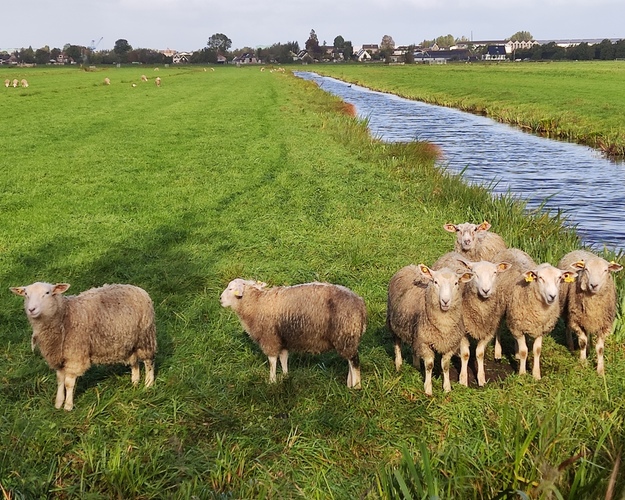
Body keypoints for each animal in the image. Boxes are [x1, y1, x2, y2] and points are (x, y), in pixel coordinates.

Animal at [10, 282, 157, 410]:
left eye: (47, 293)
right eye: (26, 294)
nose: (31, 309)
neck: (65, 316)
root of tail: (137, 288)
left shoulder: (74, 355)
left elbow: (68, 383)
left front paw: (68, 406)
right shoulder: (59, 357)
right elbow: (60, 380)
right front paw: (58, 403)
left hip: (145, 336)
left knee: (148, 362)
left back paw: (148, 385)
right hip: (129, 342)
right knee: (134, 362)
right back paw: (135, 381)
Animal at [220, 279, 366, 388]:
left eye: (231, 289)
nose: (220, 299)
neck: (256, 303)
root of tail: (360, 304)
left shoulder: (270, 338)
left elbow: (272, 361)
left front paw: (272, 381)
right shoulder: (283, 339)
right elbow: (283, 357)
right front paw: (286, 376)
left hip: (346, 333)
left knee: (354, 361)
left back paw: (356, 386)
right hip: (348, 336)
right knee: (350, 360)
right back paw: (350, 383)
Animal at [387, 264, 473, 395]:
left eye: (456, 283)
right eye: (435, 282)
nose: (445, 301)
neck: (444, 325)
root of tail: (410, 266)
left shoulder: (449, 344)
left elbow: (445, 366)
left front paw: (447, 388)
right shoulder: (425, 342)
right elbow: (429, 365)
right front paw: (428, 389)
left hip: (415, 332)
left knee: (414, 347)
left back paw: (416, 365)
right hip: (394, 324)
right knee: (397, 344)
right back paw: (398, 365)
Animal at [495, 251, 577, 380]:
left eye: (559, 278)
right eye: (540, 278)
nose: (552, 296)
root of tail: (512, 249)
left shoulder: (540, 329)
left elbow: (537, 350)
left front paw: (536, 374)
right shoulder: (518, 327)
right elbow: (524, 351)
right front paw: (522, 373)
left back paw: (516, 354)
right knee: (498, 328)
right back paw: (497, 353)